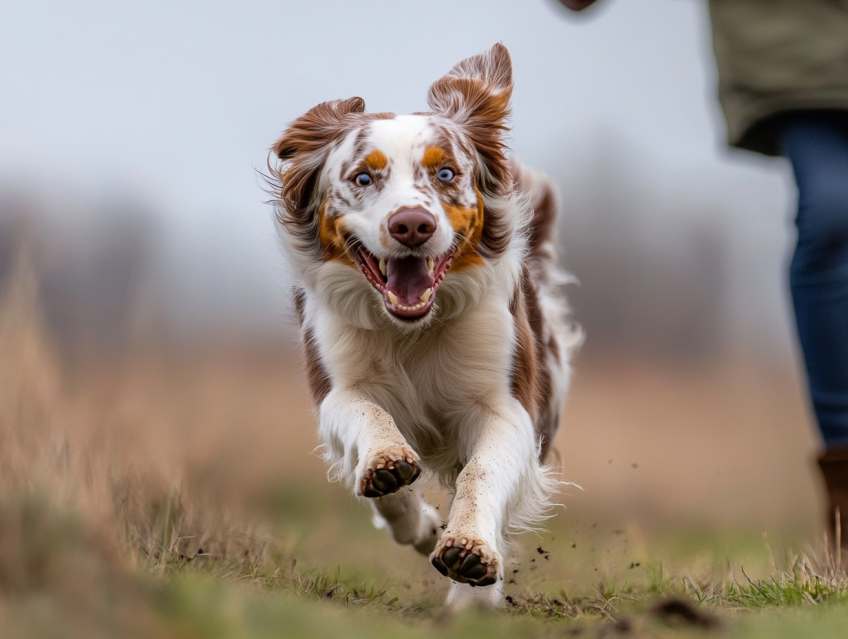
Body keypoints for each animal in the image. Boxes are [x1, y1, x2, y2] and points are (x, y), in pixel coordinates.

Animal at [268, 45, 580, 608]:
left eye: (447, 174)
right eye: (363, 178)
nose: (412, 224)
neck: (411, 332)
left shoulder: (508, 405)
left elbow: (482, 471)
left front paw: (471, 558)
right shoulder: (337, 384)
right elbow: (371, 424)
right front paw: (391, 473)